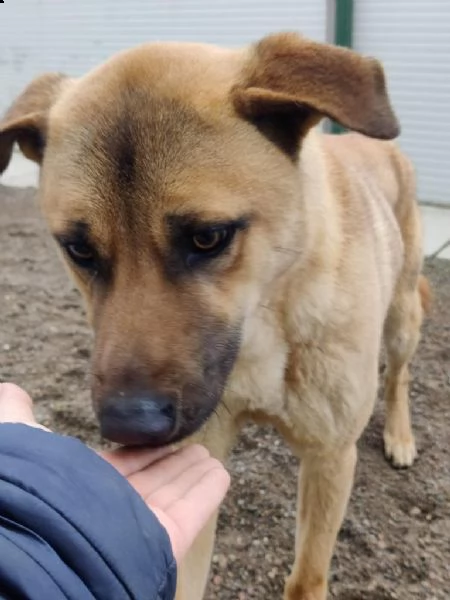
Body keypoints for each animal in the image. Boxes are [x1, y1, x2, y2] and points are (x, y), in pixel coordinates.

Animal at [0, 32, 428, 600]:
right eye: (79, 249)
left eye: (208, 237)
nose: (129, 426)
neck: (265, 327)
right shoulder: (203, 456)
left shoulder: (330, 457)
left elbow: (307, 576)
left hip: (402, 316)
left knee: (399, 373)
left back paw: (401, 436)